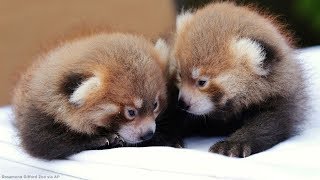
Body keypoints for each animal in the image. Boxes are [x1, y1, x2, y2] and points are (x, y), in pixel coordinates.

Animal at [12, 32, 169, 159]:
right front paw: (103, 139)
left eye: (155, 105)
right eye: (131, 112)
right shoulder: (38, 113)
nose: (148, 133)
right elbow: (42, 142)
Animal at [170, 2, 308, 158]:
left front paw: (233, 144)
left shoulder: (281, 101)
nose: (183, 103)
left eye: (202, 82)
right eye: (180, 75)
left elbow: (266, 125)